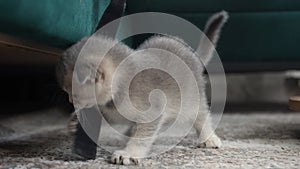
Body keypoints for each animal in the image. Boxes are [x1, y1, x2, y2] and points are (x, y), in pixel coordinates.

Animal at [57, 11, 229, 165]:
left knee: (201, 115)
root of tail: (192, 54)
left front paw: (129, 153)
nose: (70, 100)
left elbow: (142, 137)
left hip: (192, 98)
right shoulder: (113, 112)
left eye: (73, 94)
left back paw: (209, 138)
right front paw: (74, 122)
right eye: (66, 93)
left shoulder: (153, 110)